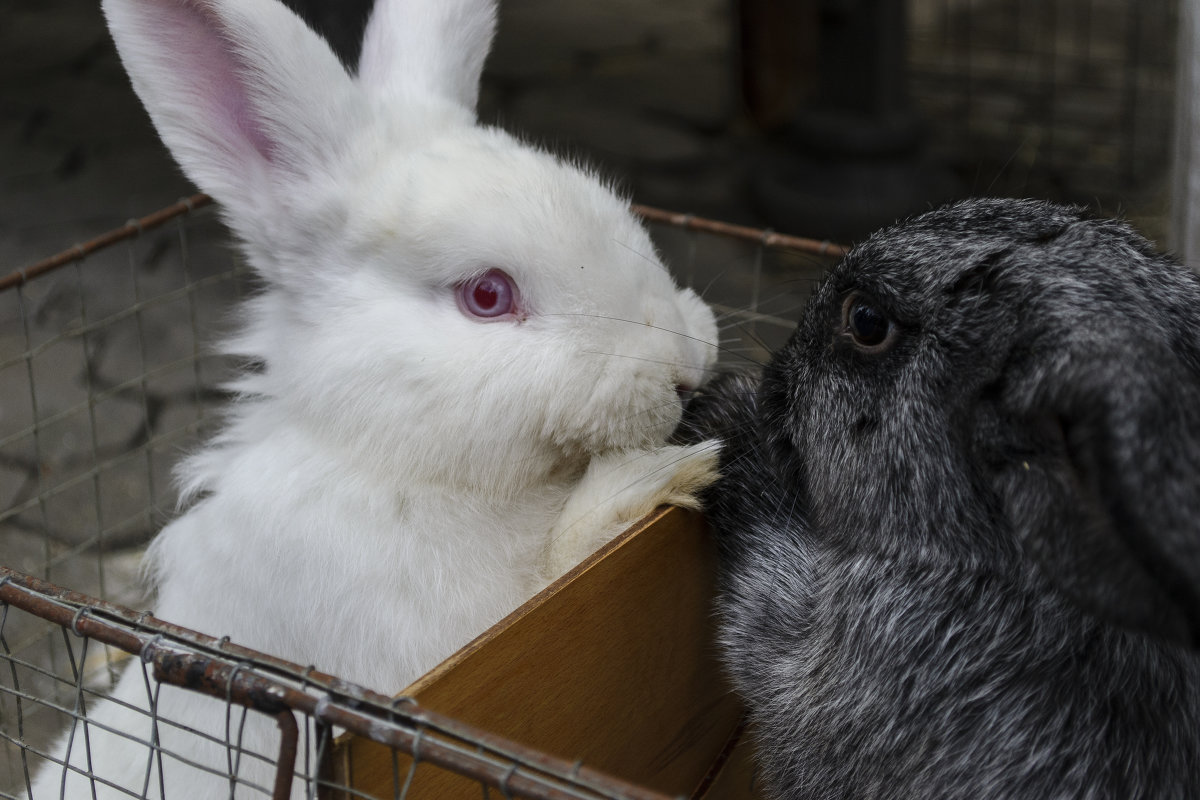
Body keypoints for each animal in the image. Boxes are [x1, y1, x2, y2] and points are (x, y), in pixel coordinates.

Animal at [28, 0, 715, 796]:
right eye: (487, 295)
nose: (686, 369)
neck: (393, 459)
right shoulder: (435, 650)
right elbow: (560, 568)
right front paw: (658, 477)